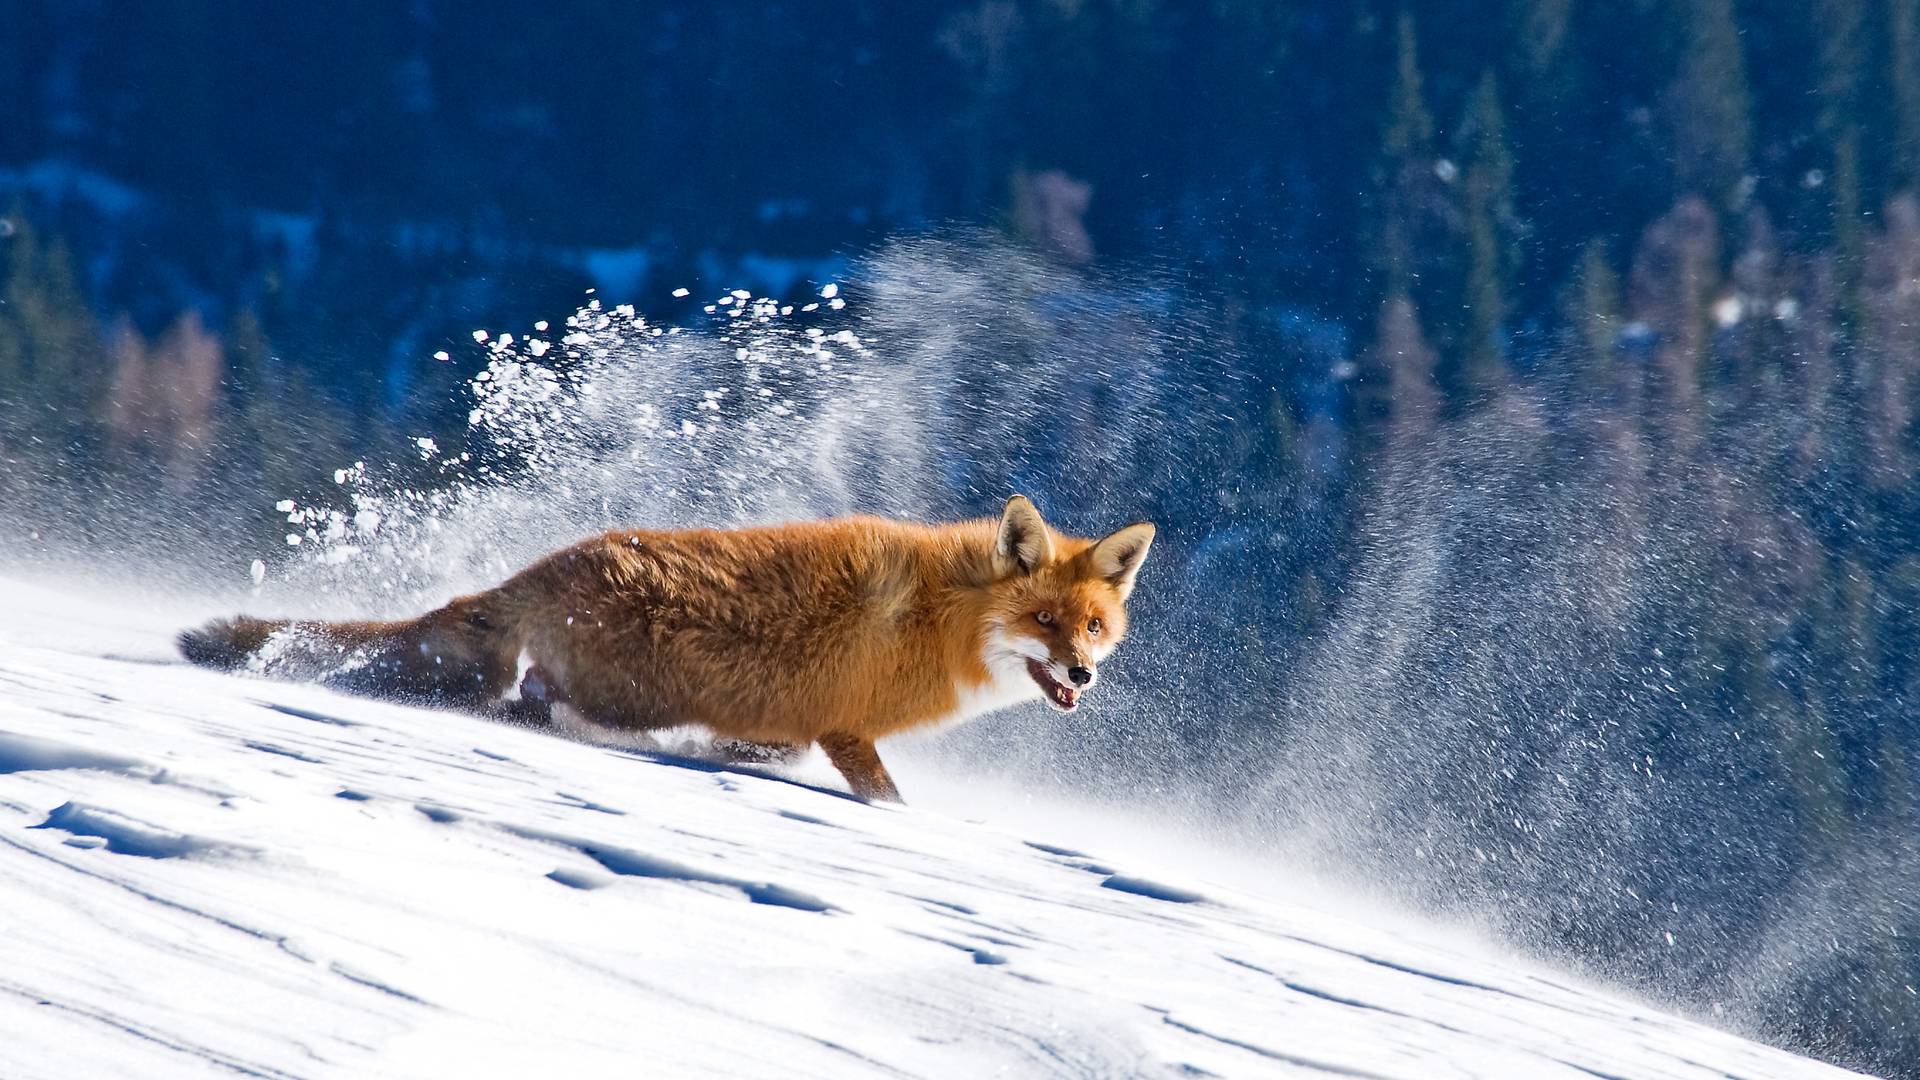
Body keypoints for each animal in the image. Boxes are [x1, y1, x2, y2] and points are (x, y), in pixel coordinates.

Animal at [180, 495, 1152, 799]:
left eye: (1093, 627)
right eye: (1044, 622)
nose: (1081, 672)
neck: (939, 620)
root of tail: (555, 561)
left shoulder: (801, 723)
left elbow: (773, 748)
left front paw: (736, 758)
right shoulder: (847, 731)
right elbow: (887, 800)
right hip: (632, 690)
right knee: (533, 703)